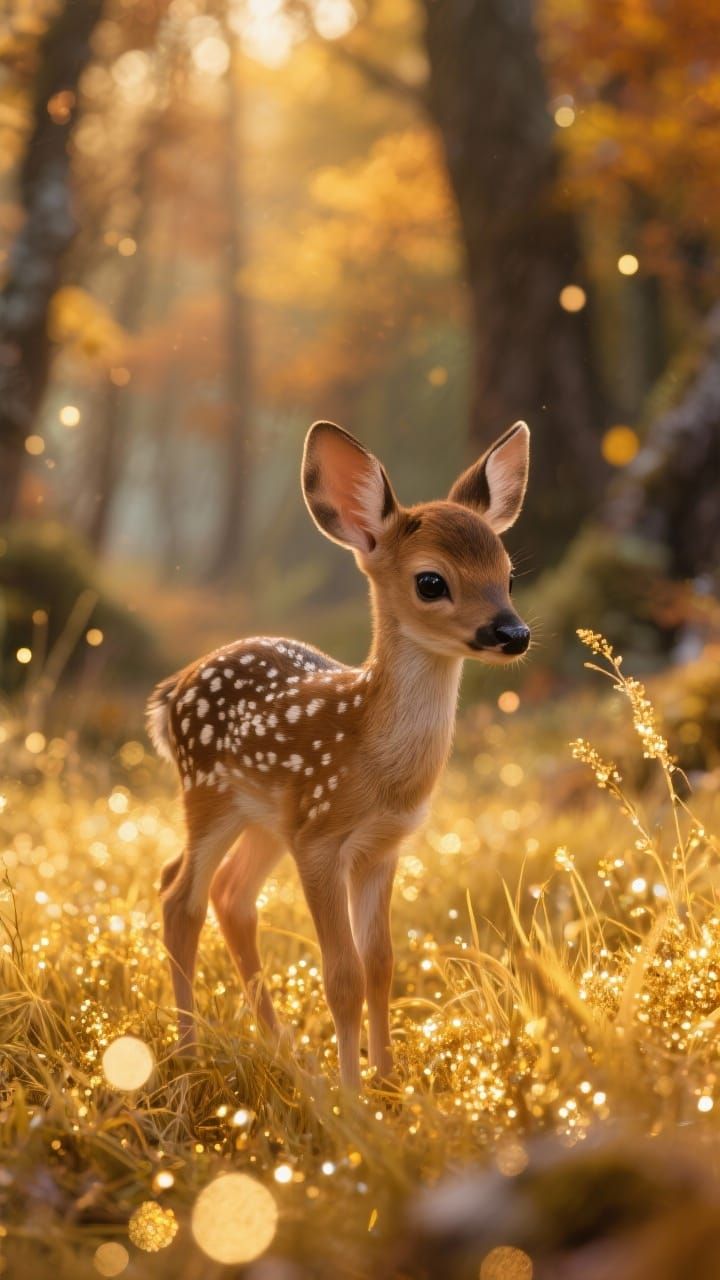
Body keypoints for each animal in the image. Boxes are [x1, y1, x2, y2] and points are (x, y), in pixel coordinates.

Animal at [147, 419, 531, 1089]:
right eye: (432, 581)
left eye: (508, 575)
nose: (514, 633)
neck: (374, 763)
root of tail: (172, 690)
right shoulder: (322, 840)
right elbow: (342, 976)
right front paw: (354, 1097)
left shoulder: (381, 846)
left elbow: (381, 962)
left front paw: (388, 1080)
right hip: (210, 794)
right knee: (180, 896)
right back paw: (191, 1057)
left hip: (268, 820)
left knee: (230, 896)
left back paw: (285, 1052)